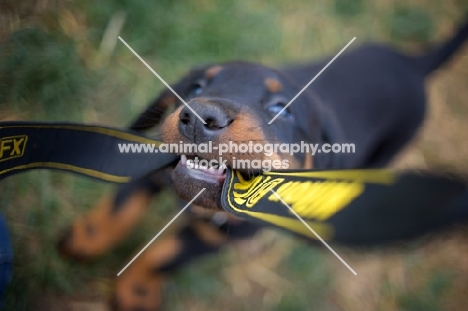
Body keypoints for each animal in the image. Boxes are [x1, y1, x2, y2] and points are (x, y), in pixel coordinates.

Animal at [57, 15, 468, 310]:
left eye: (281, 109)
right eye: (195, 87)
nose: (199, 117)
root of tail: (414, 63)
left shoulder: (220, 237)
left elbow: (166, 254)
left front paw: (137, 290)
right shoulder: (156, 164)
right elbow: (122, 205)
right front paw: (88, 238)